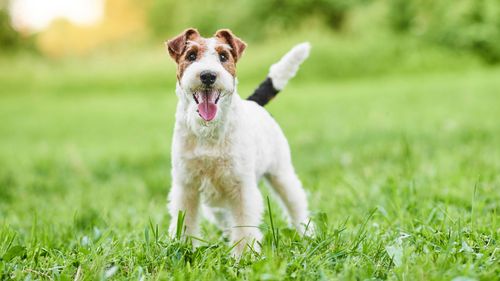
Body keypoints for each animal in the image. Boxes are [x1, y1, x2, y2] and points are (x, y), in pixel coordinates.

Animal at [164, 29, 312, 256]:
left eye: (223, 56)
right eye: (191, 55)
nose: (208, 75)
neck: (208, 132)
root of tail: (255, 102)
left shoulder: (241, 185)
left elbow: (244, 224)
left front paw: (244, 255)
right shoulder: (186, 184)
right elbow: (185, 219)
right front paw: (183, 248)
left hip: (281, 173)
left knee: (296, 203)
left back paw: (307, 234)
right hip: (215, 202)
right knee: (224, 217)